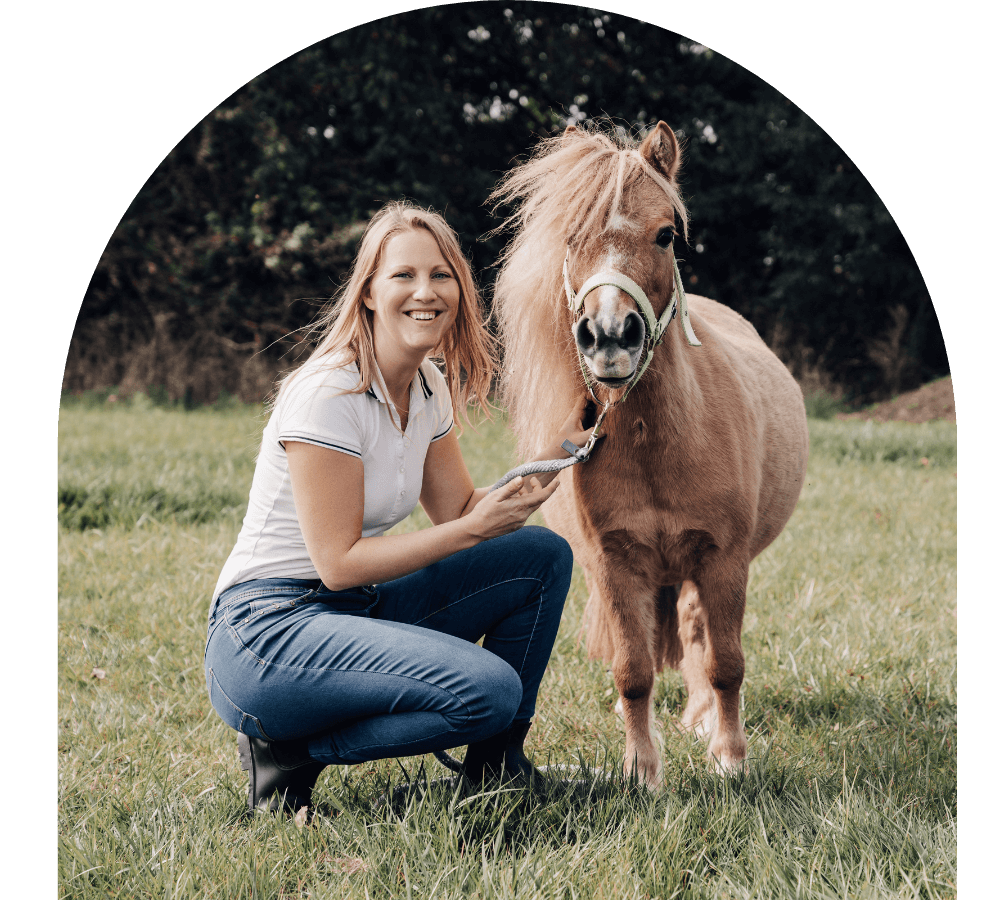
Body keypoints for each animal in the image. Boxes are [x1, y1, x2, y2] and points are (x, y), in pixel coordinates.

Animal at [488, 121, 808, 788]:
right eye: (570, 237)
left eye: (666, 234)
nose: (610, 336)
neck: (657, 446)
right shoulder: (615, 563)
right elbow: (632, 670)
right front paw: (643, 772)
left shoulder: (723, 559)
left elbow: (725, 662)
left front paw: (730, 760)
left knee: (696, 633)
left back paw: (705, 721)